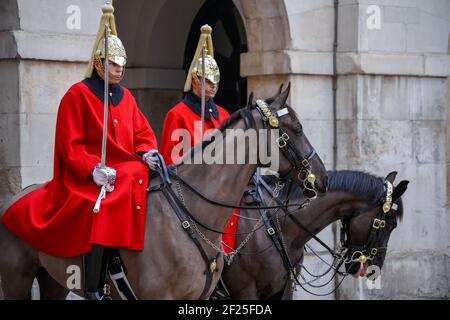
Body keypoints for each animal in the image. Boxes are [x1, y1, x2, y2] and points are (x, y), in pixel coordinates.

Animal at [0, 84, 326, 298]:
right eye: (296, 128)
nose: (322, 178)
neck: (191, 214)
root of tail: (15, 196)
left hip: (53, 280)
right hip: (17, 280)